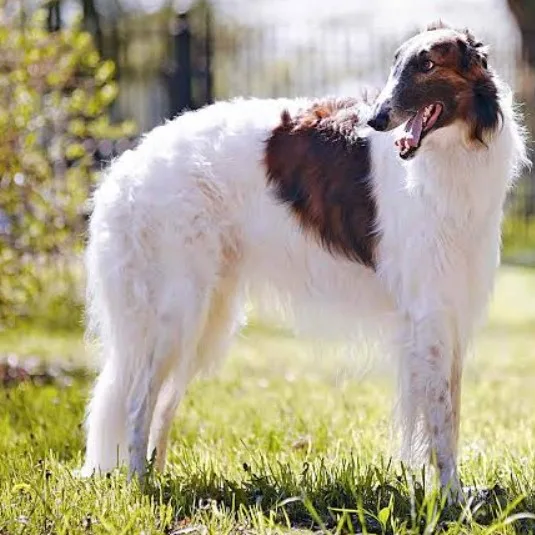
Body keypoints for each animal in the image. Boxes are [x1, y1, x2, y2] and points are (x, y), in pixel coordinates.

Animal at [81, 23, 528, 496]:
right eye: (397, 63)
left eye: (427, 63)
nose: (377, 120)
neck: (451, 155)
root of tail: (125, 168)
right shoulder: (429, 313)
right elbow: (441, 422)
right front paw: (450, 497)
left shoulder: (451, 312)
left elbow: (451, 416)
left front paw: (451, 493)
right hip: (176, 312)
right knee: (137, 402)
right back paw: (139, 483)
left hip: (206, 318)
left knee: (162, 404)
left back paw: (158, 475)